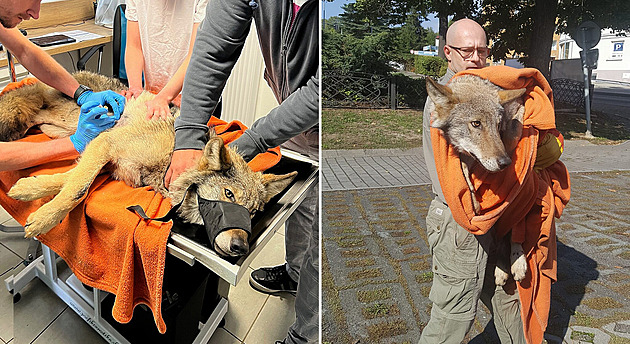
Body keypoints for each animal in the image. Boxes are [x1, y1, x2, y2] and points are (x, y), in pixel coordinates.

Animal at [1, 72, 298, 258]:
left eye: (254, 213)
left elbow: (70, 179)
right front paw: (43, 218)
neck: (169, 159)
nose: (241, 247)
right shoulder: (106, 144)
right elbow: (77, 189)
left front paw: (28, 188)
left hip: (57, 128)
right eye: (228, 195)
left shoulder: (105, 159)